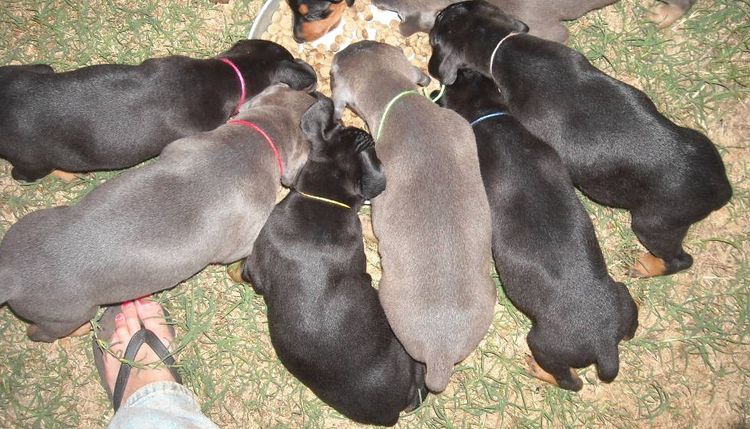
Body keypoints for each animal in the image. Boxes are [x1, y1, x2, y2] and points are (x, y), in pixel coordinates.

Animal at [432, 0, 732, 278]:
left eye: (438, 24)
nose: (439, 10)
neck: (503, 47)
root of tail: (721, 188)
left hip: (655, 223)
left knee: (681, 260)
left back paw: (647, 267)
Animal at [434, 68, 640, 390]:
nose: (461, 70)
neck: (491, 116)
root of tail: (603, 342)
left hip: (543, 344)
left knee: (571, 381)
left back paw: (539, 371)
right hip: (622, 296)